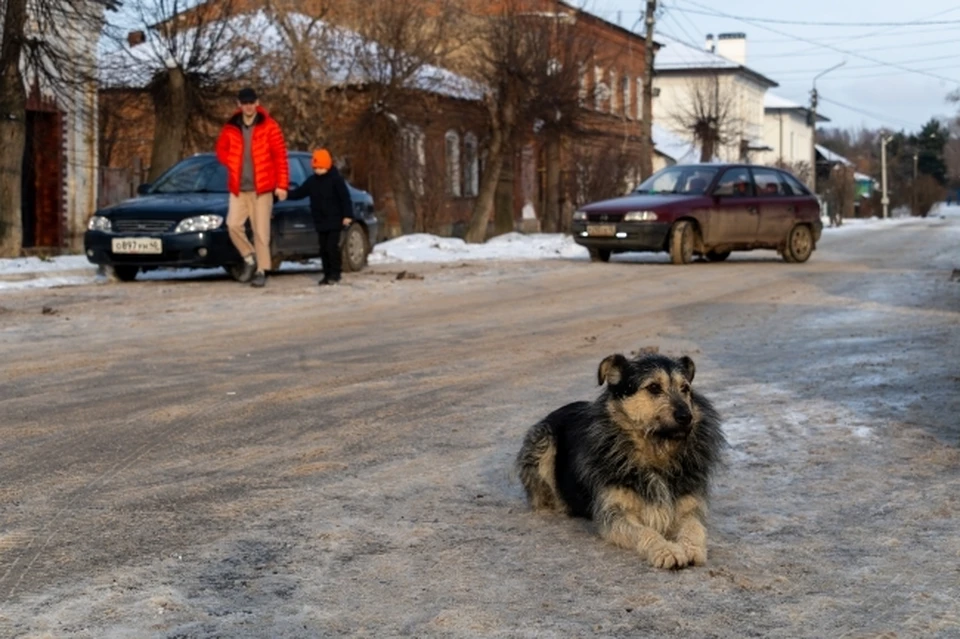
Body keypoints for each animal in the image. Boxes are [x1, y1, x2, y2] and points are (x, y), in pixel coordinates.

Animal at [520, 352, 724, 568]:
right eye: (653, 387)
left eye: (685, 388)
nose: (687, 417)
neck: (655, 455)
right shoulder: (614, 512)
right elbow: (646, 531)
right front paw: (666, 549)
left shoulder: (690, 507)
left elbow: (694, 527)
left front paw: (691, 548)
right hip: (542, 442)